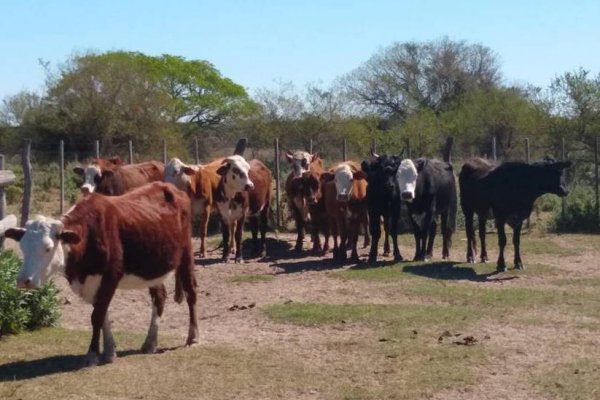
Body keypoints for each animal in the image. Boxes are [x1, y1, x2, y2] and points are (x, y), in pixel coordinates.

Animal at [3, 183, 198, 368]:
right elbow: (103, 315)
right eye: (22, 247)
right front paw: (110, 351)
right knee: (159, 297)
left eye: (48, 248)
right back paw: (150, 342)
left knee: (191, 293)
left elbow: (97, 316)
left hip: (186, 253)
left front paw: (92, 354)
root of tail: (172, 188)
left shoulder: (110, 277)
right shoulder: (92, 283)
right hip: (153, 267)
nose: (24, 281)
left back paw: (192, 337)